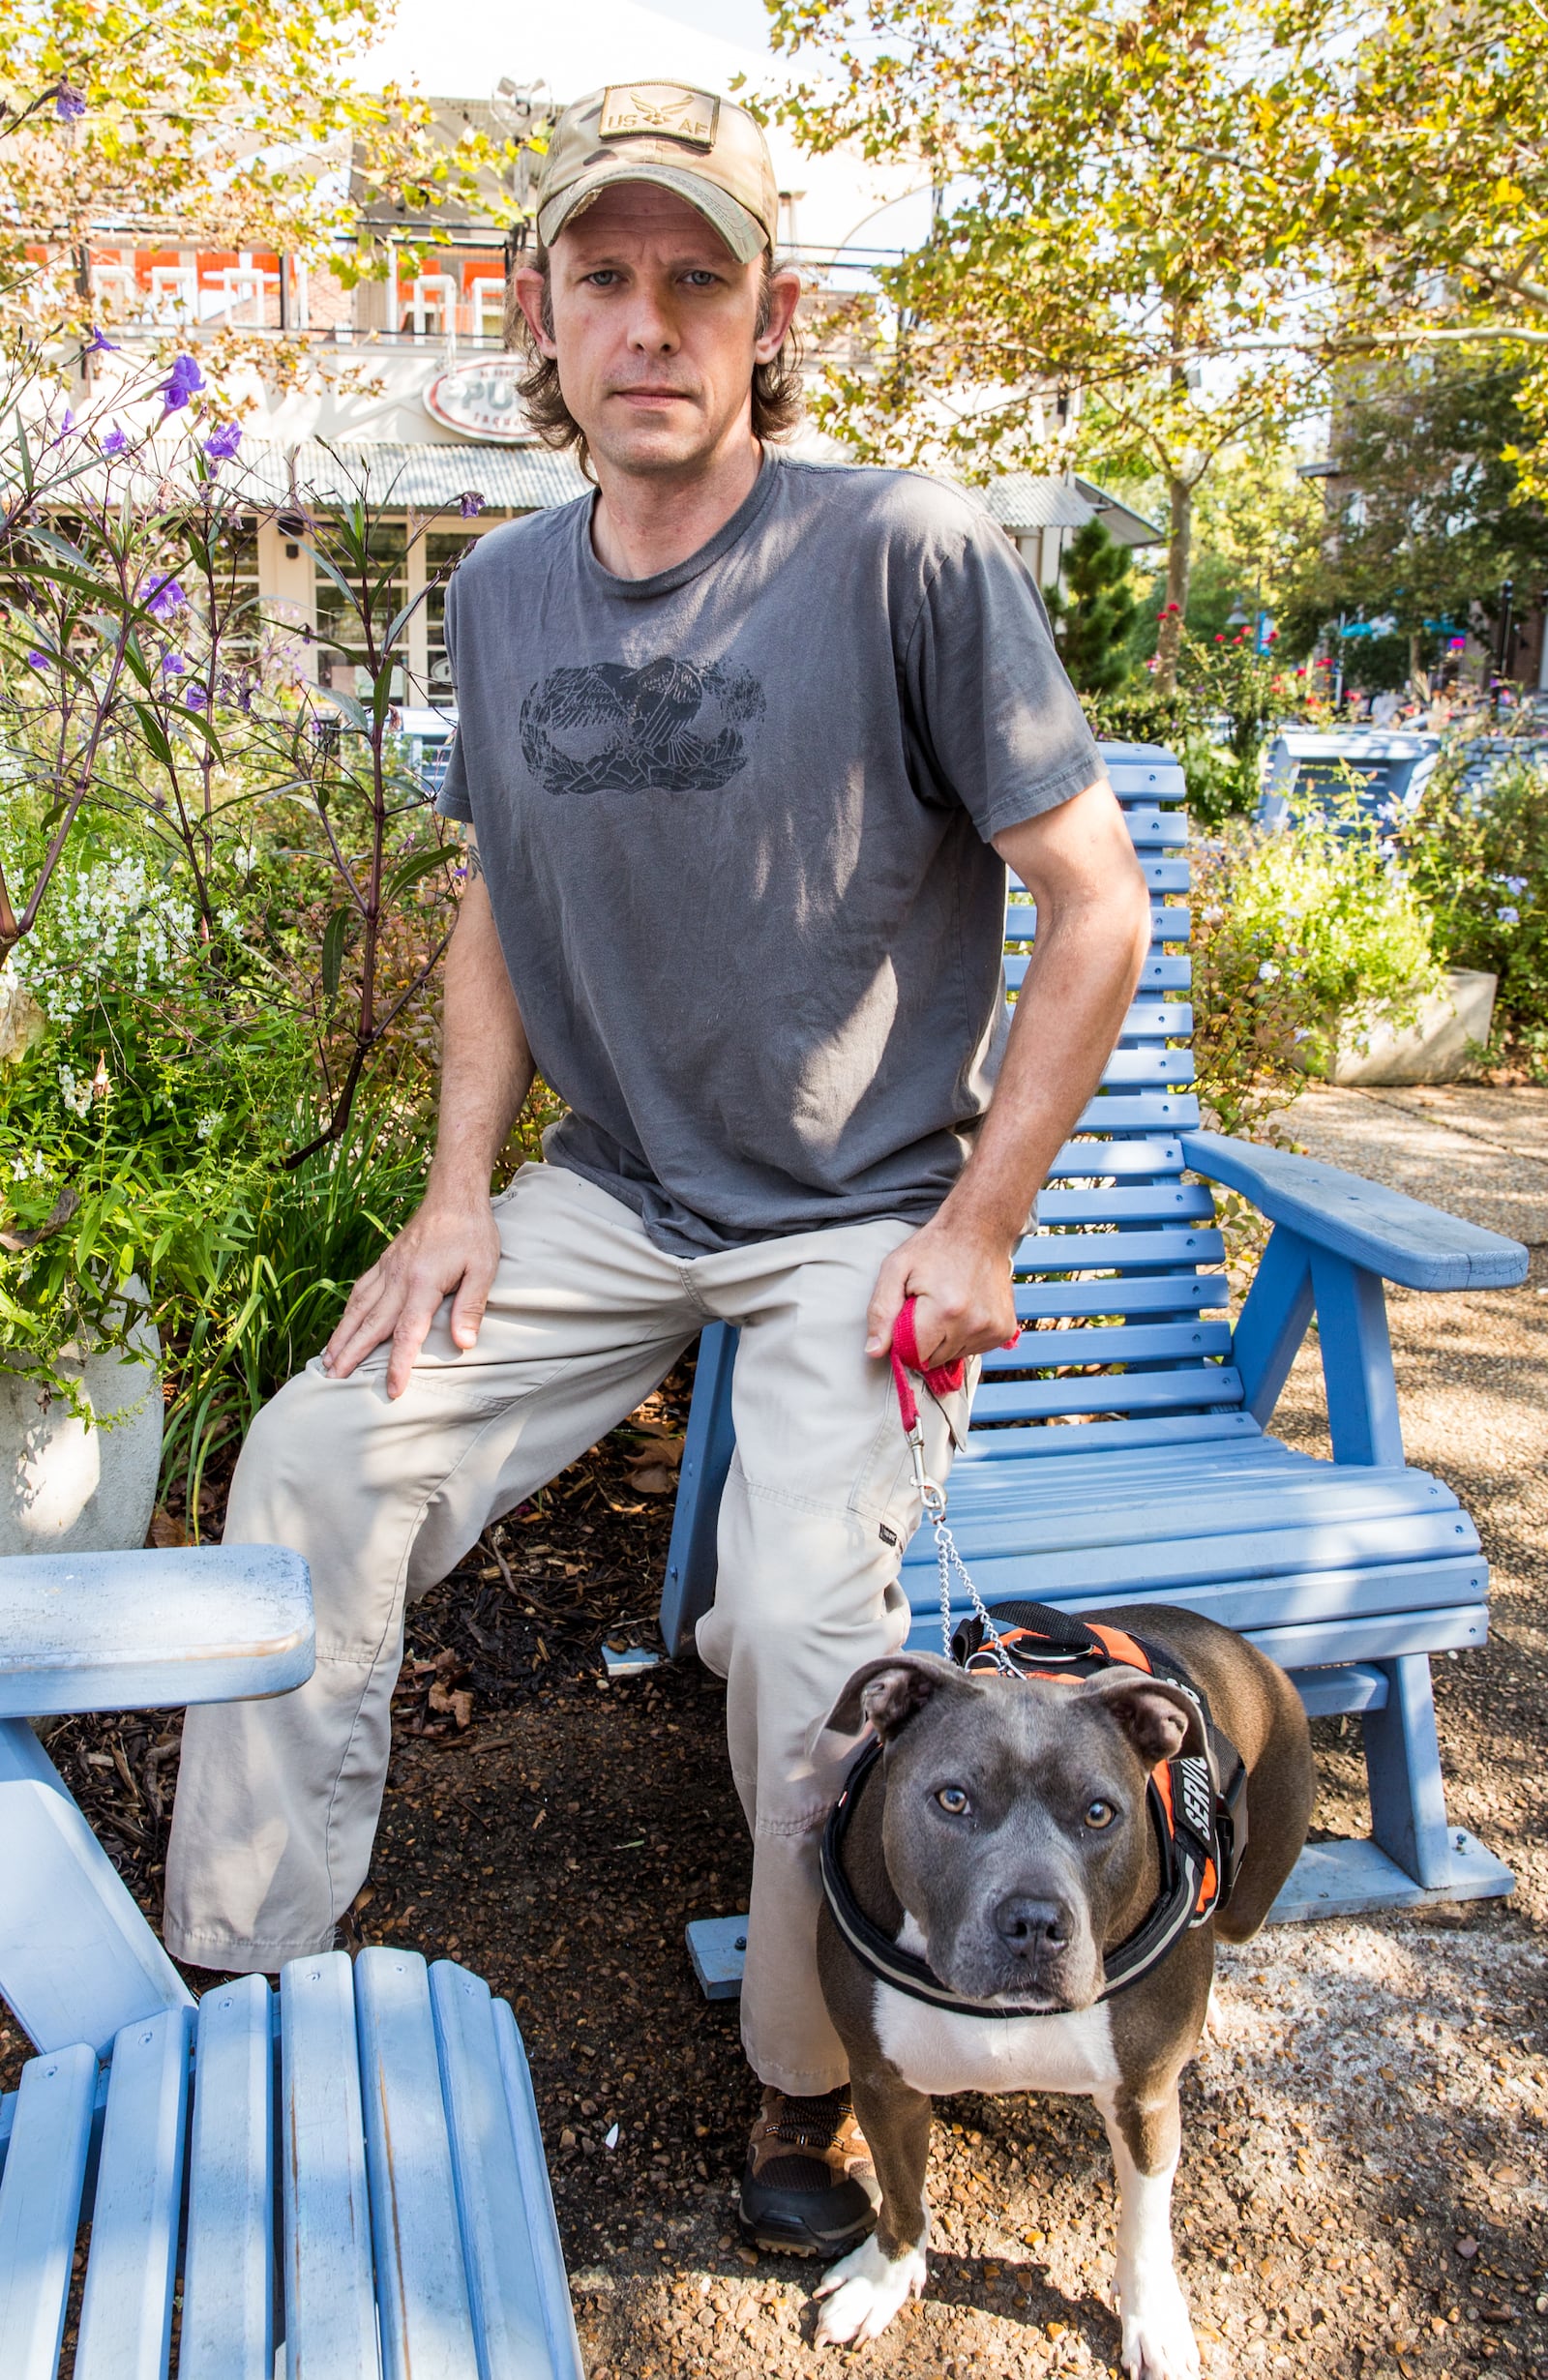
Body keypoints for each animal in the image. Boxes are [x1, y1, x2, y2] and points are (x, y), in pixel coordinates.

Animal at [814, 1599, 1304, 2380]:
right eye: (953, 1799)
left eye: (1100, 1813)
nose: (1036, 1923)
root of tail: (1232, 1640)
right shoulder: (882, 2080)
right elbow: (901, 2198)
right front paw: (881, 2282)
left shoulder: (1144, 2098)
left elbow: (1145, 2225)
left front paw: (1153, 2320)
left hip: (1250, 1897)